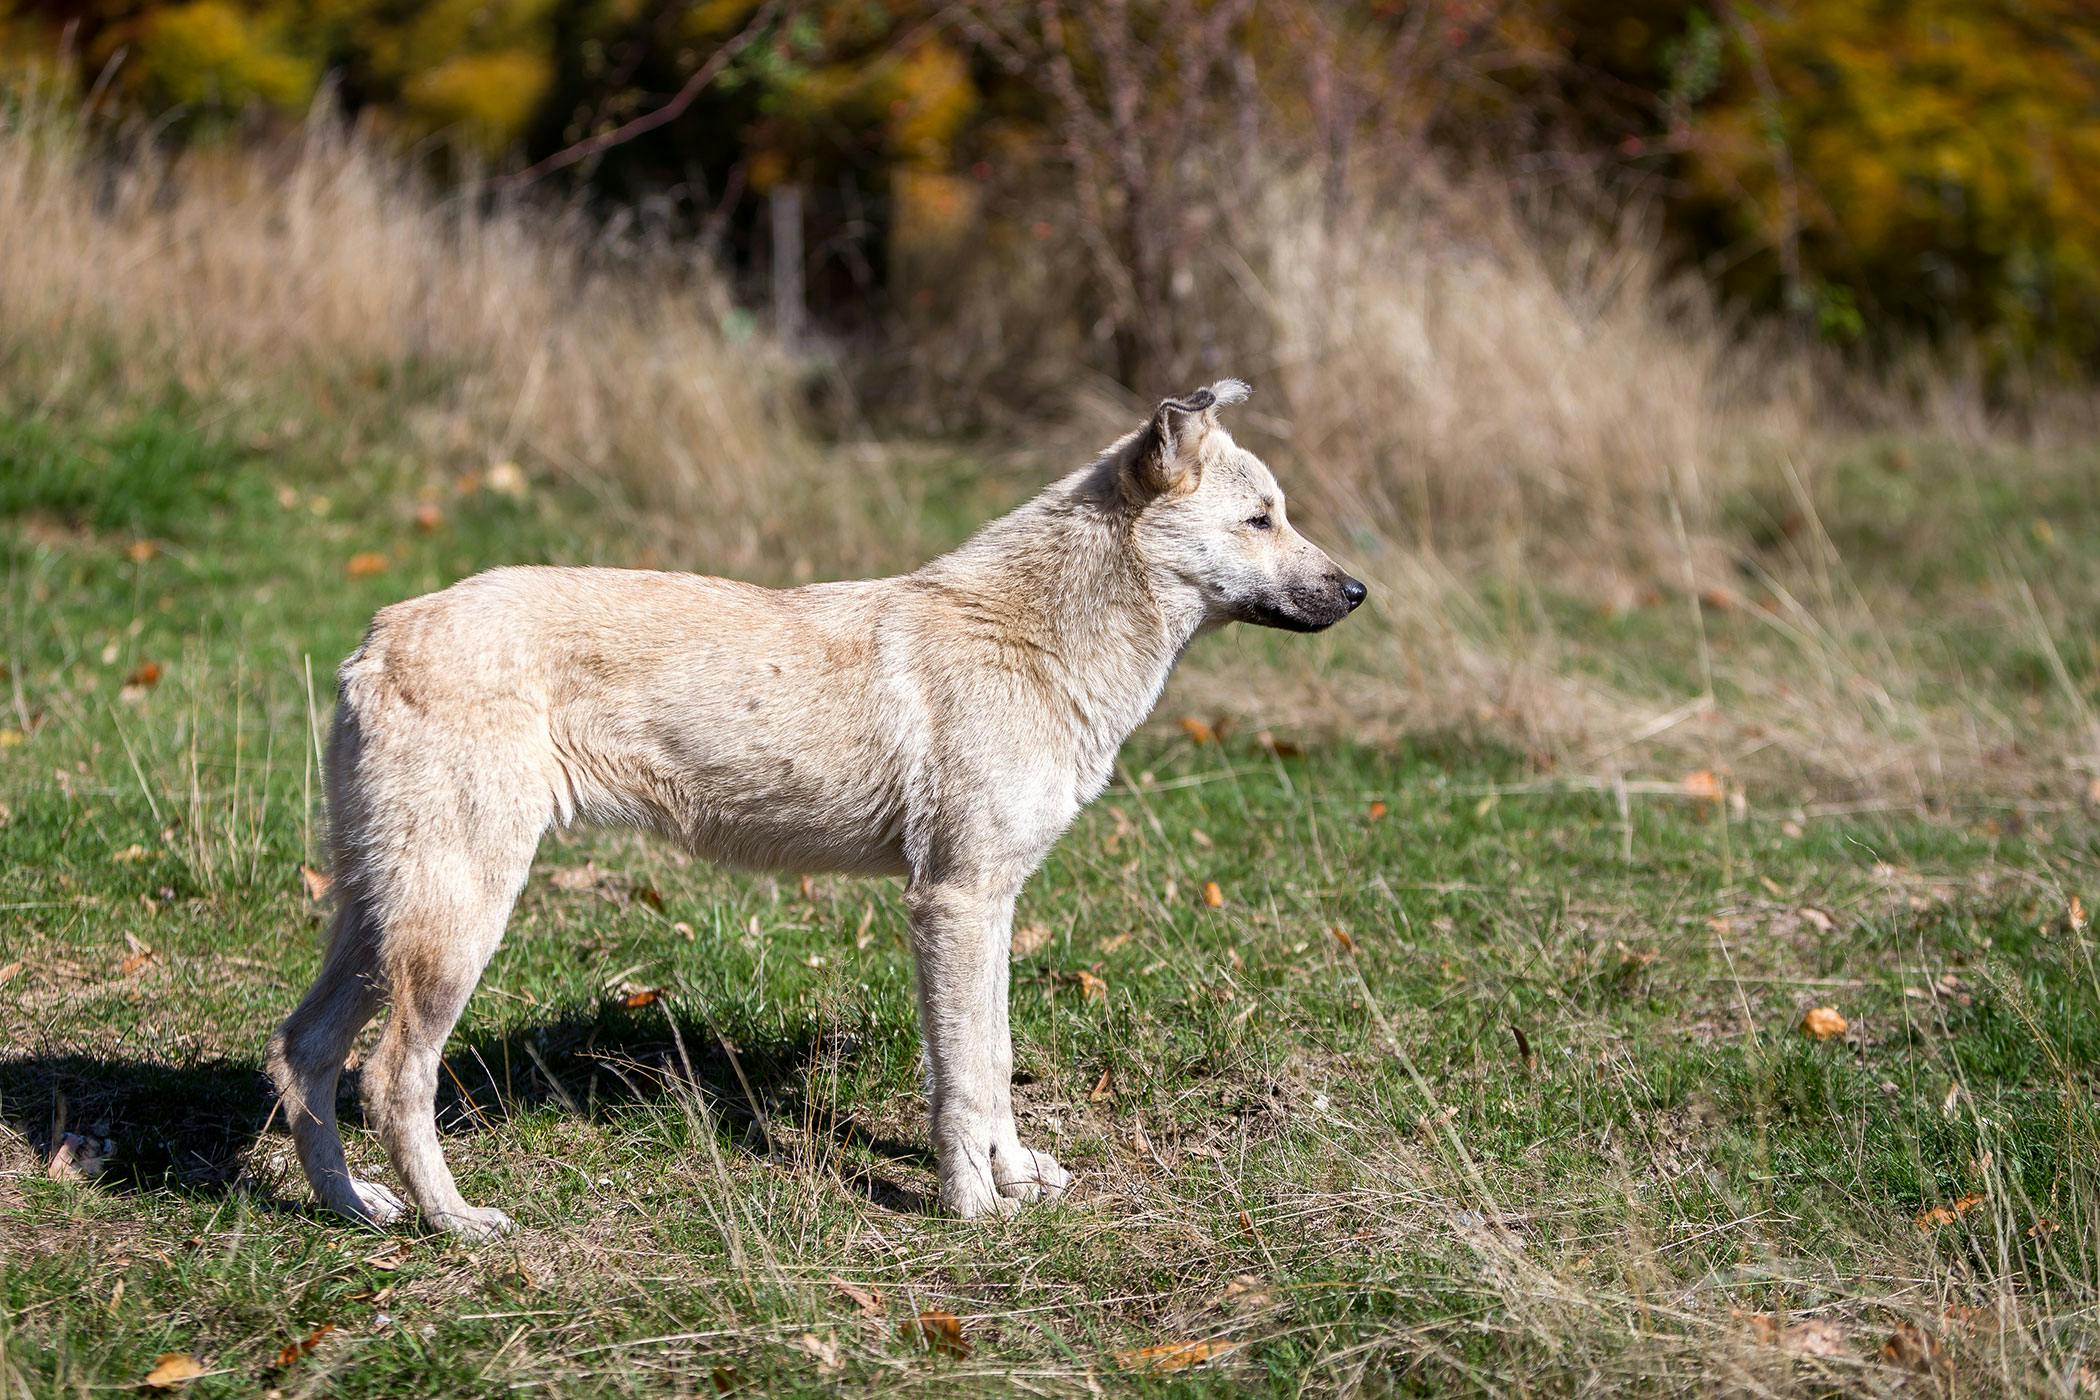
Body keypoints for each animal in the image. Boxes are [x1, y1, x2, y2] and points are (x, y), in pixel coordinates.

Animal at [266, 384, 1360, 1234]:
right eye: (1260, 519)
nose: (1355, 590)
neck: (1036, 636)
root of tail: (378, 634)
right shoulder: (952, 902)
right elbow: (963, 1079)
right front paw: (972, 1209)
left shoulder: (993, 904)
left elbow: (996, 1057)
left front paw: (1015, 1178)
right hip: (454, 918)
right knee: (390, 1077)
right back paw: (454, 1221)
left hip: (377, 914)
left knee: (303, 1052)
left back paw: (356, 1208)